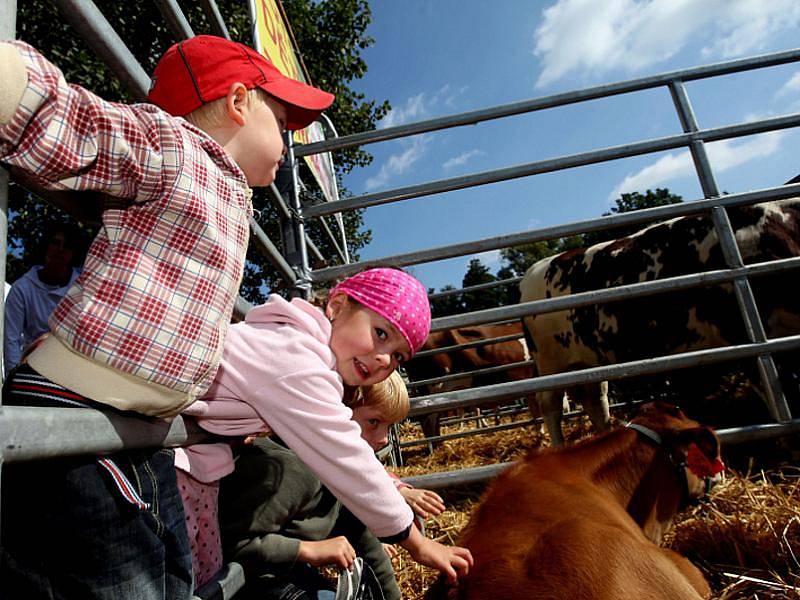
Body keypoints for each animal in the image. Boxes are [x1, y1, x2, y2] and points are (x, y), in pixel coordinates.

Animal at [520, 198, 800, 446]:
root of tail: (532, 274)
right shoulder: (744, 336)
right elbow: (777, 387)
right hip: (551, 364)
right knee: (550, 404)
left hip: (588, 362)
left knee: (596, 401)